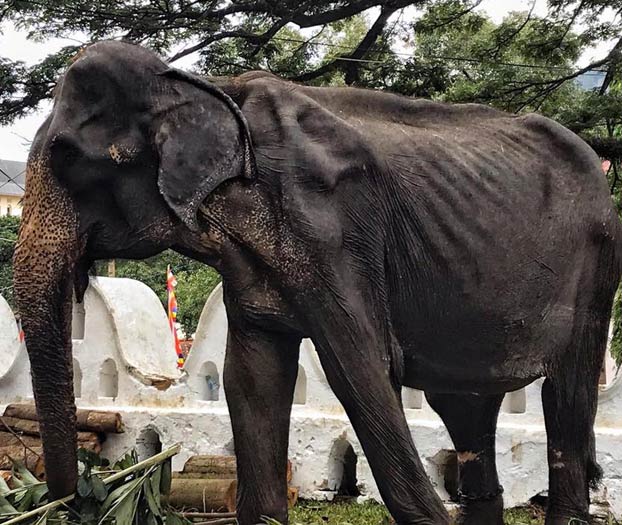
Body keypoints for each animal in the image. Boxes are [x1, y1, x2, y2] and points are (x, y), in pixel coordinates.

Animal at [13, 41, 622, 524]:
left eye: (66, 157)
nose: (67, 498)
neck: (207, 88)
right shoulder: (251, 263)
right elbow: (251, 379)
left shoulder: (334, 229)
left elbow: (362, 369)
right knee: (466, 409)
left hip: (596, 268)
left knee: (566, 398)